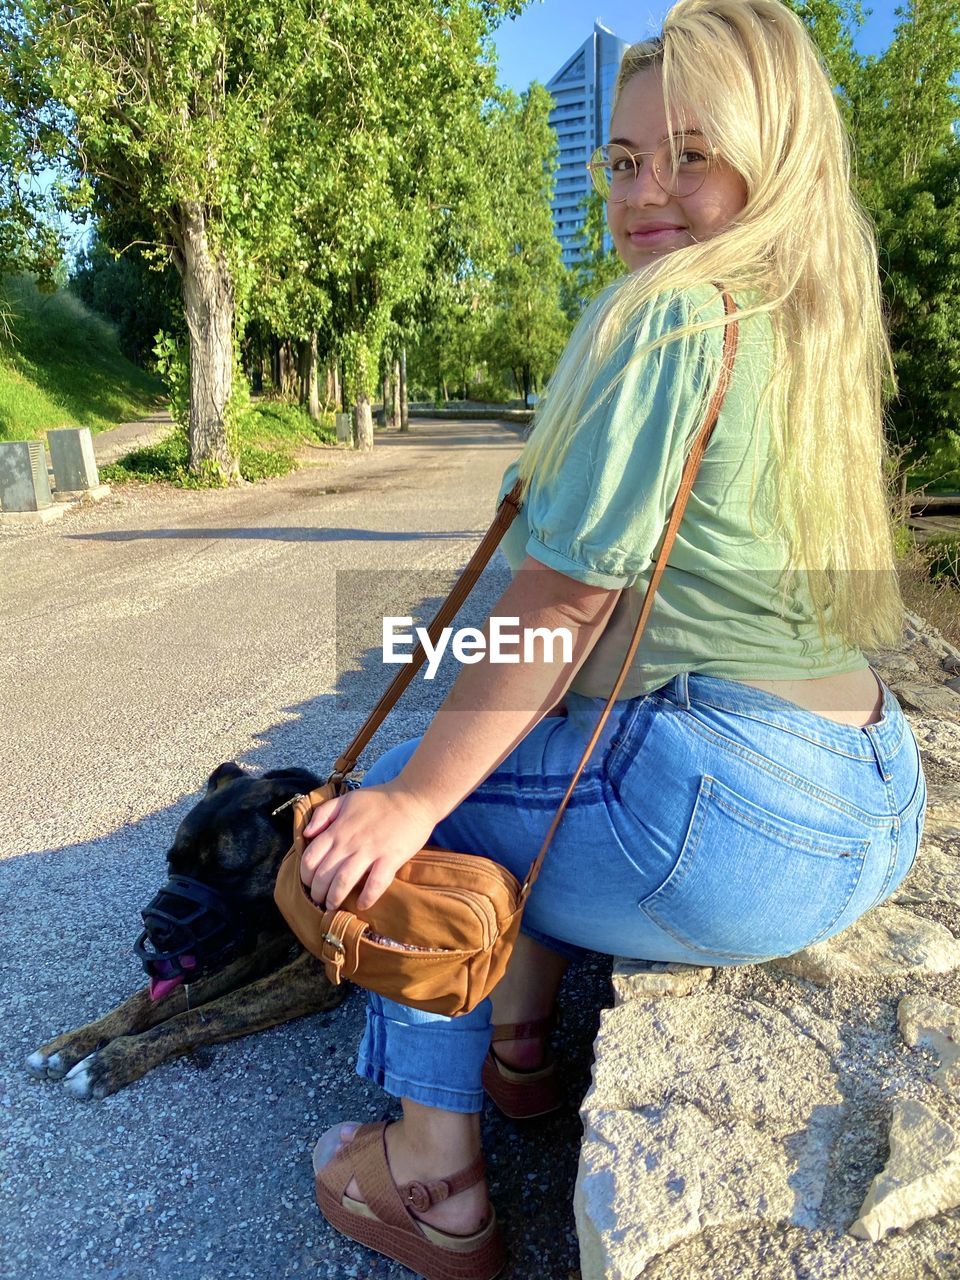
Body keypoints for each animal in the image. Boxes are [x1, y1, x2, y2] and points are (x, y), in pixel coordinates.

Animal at [24, 757, 350, 1100]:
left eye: (225, 873)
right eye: (172, 861)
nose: (155, 926)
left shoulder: (311, 977)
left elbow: (200, 1015)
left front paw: (110, 1061)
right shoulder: (251, 944)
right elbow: (145, 1001)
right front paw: (71, 1044)